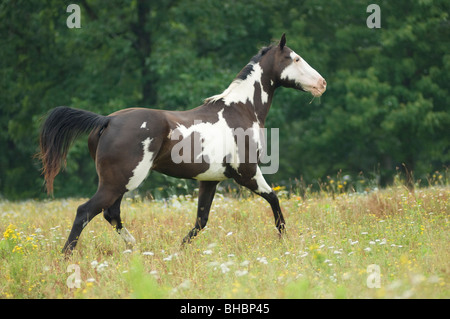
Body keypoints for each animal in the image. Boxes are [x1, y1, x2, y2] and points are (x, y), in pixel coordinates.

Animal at [38, 33, 326, 255]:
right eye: (296, 58)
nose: (322, 83)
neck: (242, 110)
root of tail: (106, 120)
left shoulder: (210, 179)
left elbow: (201, 220)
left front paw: (180, 248)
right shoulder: (247, 173)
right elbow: (274, 200)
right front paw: (283, 240)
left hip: (117, 183)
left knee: (111, 214)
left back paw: (135, 248)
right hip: (120, 181)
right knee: (86, 212)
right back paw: (67, 257)